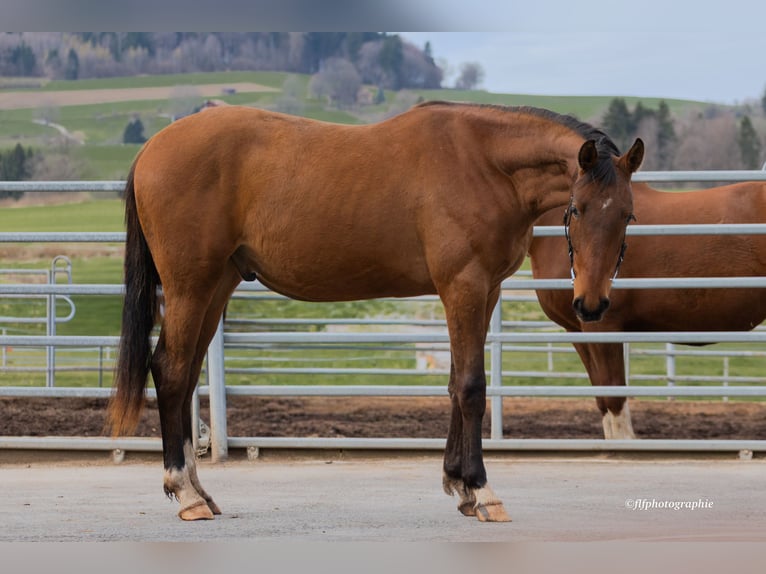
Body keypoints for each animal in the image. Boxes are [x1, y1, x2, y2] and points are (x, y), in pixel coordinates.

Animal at [107, 101, 643, 522]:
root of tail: (152, 149)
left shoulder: (483, 291)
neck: (485, 164)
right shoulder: (464, 286)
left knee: (185, 377)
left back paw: (199, 490)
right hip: (189, 287)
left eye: (627, 214)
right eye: (577, 210)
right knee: (171, 372)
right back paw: (184, 493)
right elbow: (472, 388)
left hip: (215, 286)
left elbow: (455, 384)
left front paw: (458, 485)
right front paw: (482, 490)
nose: (591, 303)